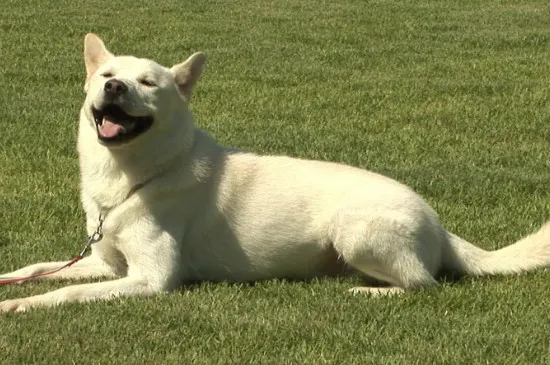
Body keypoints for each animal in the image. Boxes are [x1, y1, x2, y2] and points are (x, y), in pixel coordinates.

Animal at [1, 35, 550, 312]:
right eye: (106, 75)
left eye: (149, 83)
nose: (113, 87)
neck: (130, 177)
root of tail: (438, 223)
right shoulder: (110, 265)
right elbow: (40, 267)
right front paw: (10, 281)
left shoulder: (151, 280)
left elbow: (67, 291)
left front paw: (22, 306)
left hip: (355, 230)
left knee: (425, 285)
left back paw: (369, 292)